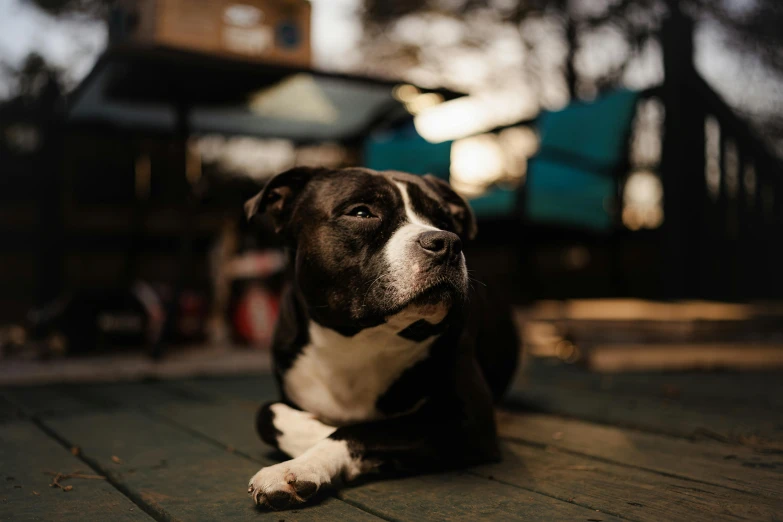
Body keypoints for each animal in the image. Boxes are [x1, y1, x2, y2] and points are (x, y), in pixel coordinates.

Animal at [242, 167, 516, 508]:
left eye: (446, 221)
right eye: (361, 213)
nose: (448, 242)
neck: (360, 340)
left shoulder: (469, 422)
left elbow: (356, 431)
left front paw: (301, 465)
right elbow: (265, 414)